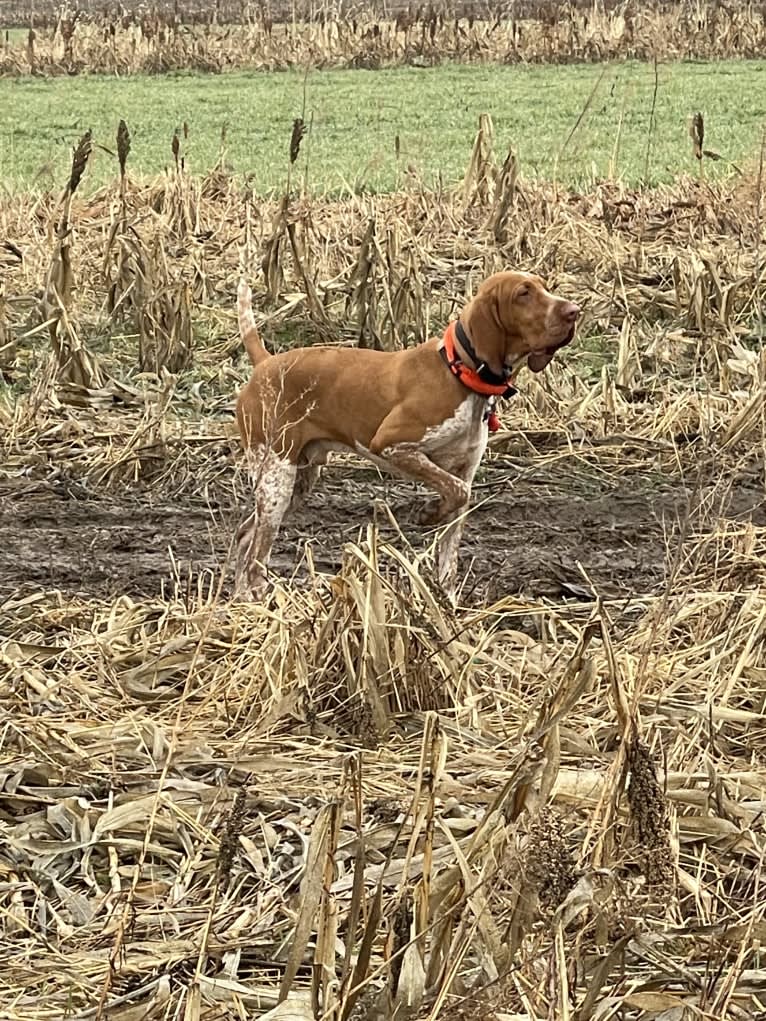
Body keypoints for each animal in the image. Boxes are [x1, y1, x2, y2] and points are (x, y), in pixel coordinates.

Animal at [230, 273, 580, 596]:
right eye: (524, 293)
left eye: (544, 287)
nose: (575, 311)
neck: (459, 371)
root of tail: (265, 364)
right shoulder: (392, 445)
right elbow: (456, 492)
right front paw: (428, 513)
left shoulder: (463, 471)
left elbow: (450, 554)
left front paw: (446, 607)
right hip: (277, 478)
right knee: (256, 555)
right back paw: (258, 599)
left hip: (298, 480)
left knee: (246, 536)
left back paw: (242, 599)